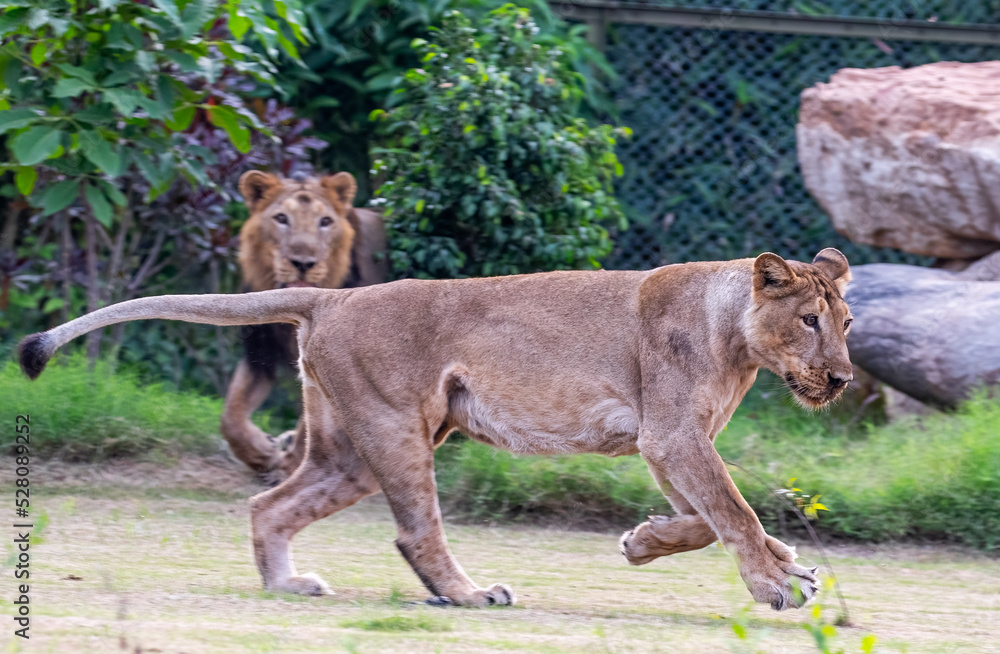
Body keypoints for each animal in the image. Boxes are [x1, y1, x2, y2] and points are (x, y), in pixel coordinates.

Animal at [18, 248, 854, 611]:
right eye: (810, 321)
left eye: (847, 324)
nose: (844, 380)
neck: (737, 337)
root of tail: (334, 298)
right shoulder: (672, 436)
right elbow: (732, 512)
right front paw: (776, 585)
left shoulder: (666, 444)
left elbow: (707, 518)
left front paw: (651, 543)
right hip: (397, 427)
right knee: (416, 532)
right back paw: (470, 594)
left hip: (350, 451)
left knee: (269, 506)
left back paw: (290, 583)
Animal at [221, 170, 387, 481]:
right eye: (281, 218)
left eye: (325, 221)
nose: (303, 263)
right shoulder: (260, 354)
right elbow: (231, 417)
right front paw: (263, 453)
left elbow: (309, 428)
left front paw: (288, 467)